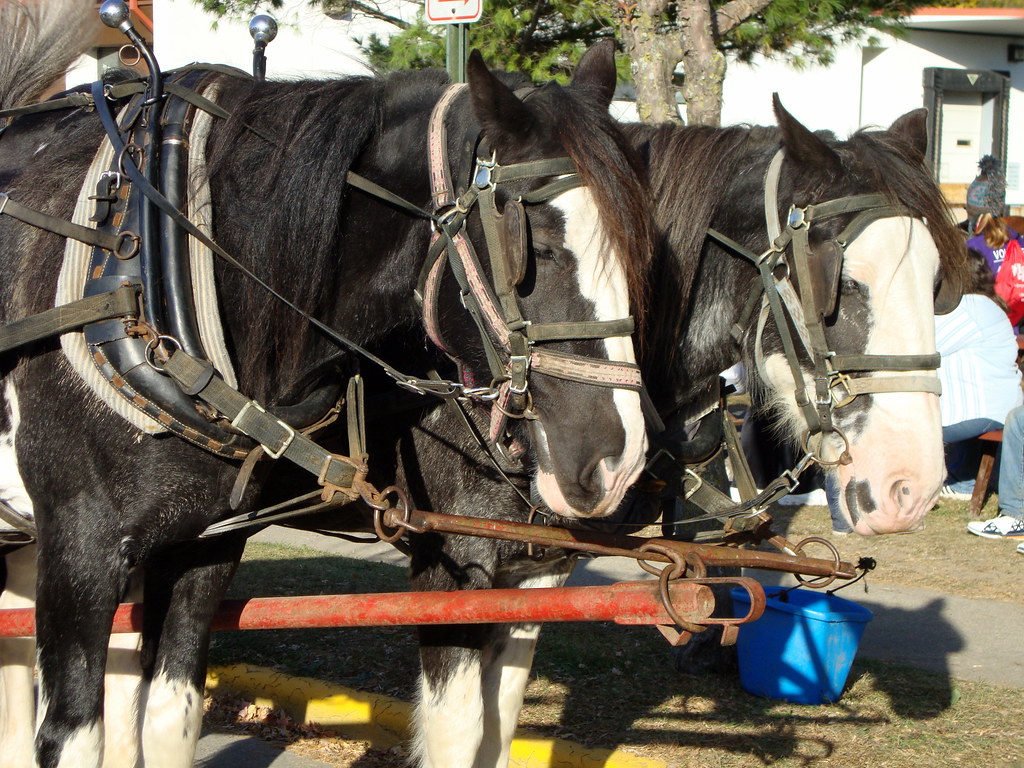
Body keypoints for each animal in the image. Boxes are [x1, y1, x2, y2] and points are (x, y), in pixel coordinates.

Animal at [0, 4, 655, 765]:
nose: (616, 462)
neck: (150, 266)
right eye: (534, 245)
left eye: (638, 248)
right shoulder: (82, 554)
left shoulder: (203, 547)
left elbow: (169, 715)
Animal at [389, 100, 968, 766]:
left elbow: (499, 723)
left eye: (936, 285)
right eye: (840, 284)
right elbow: (459, 732)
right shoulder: (454, 564)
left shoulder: (541, 563)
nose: (913, 488)